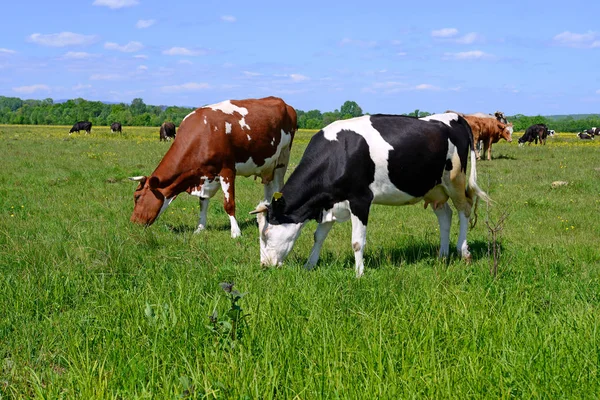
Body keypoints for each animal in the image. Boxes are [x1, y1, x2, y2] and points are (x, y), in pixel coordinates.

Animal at [133, 96, 298, 241]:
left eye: (137, 197)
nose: (133, 222)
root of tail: (284, 103)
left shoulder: (227, 171)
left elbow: (229, 204)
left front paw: (235, 232)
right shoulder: (204, 176)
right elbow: (202, 203)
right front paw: (200, 228)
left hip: (283, 157)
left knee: (278, 186)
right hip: (266, 164)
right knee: (268, 188)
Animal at [248, 111, 488, 276]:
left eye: (266, 233)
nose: (264, 265)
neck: (338, 155)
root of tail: (454, 115)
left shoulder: (360, 200)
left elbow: (357, 242)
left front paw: (359, 274)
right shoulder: (329, 201)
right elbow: (319, 236)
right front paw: (309, 265)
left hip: (455, 179)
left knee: (465, 210)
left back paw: (463, 252)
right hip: (434, 188)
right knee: (445, 215)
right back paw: (442, 255)